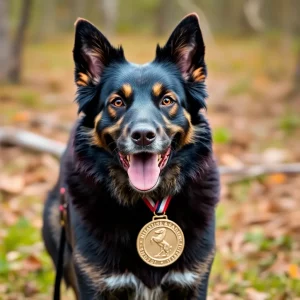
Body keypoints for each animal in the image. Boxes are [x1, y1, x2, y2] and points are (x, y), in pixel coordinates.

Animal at [42, 12, 219, 300]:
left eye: (167, 100)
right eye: (117, 102)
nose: (143, 135)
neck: (146, 202)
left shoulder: (193, 281)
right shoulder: (94, 282)